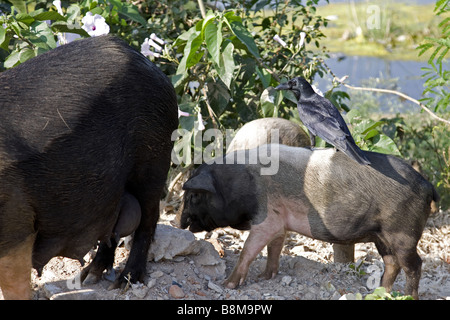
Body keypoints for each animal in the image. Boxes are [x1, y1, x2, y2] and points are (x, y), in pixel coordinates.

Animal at [0, 36, 179, 298]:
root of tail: (154, 68)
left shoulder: (16, 228)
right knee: (113, 224)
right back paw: (90, 277)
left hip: (153, 160)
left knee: (148, 219)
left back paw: (125, 282)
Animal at [180, 145, 440, 300]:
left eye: (193, 196)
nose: (180, 222)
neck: (236, 184)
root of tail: (427, 185)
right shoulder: (280, 220)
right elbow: (274, 247)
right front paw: (265, 277)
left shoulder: (267, 218)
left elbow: (248, 250)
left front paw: (227, 285)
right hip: (381, 236)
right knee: (392, 263)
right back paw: (379, 293)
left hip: (402, 232)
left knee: (414, 265)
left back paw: (409, 296)